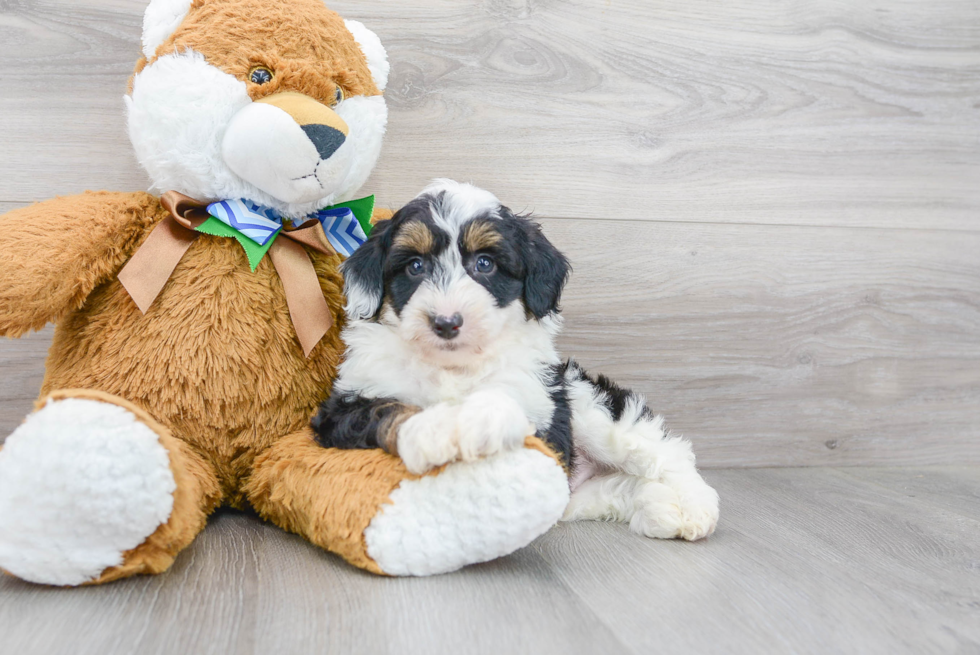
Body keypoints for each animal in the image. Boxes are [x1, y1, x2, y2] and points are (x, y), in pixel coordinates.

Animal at [314, 181, 720, 544]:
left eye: (484, 263)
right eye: (415, 266)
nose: (446, 322)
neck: (453, 365)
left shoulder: (538, 399)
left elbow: (501, 404)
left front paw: (473, 424)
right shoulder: (344, 405)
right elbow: (387, 409)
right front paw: (432, 431)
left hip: (587, 405)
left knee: (662, 450)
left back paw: (693, 506)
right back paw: (660, 508)